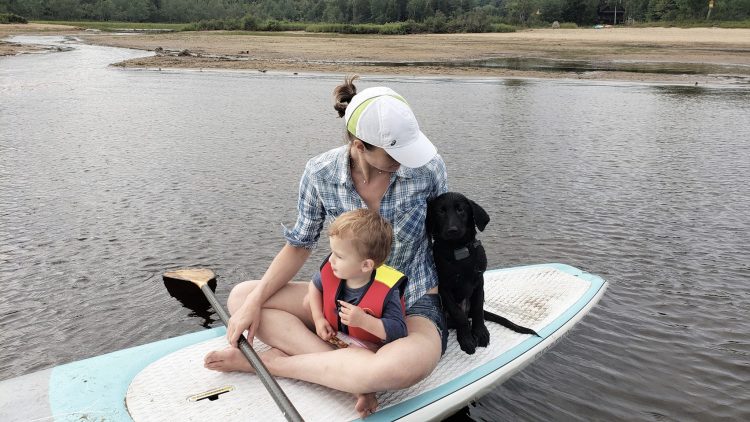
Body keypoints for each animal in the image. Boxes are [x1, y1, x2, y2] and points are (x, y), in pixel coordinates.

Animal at [428, 193, 540, 354]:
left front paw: (480, 332)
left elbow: (478, 309)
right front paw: (466, 339)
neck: (459, 252)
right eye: (440, 211)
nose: (452, 230)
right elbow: (459, 315)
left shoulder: (479, 283)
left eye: (461, 210)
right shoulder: (445, 288)